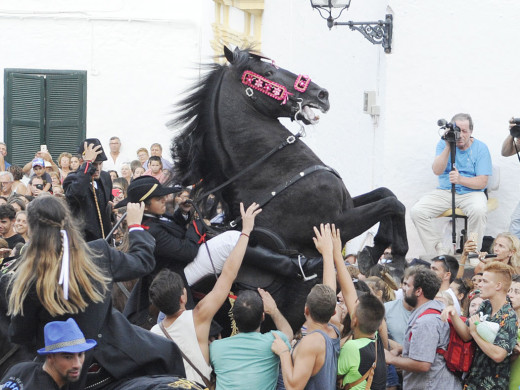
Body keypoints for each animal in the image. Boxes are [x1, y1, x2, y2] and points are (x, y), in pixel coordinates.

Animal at [171, 46, 406, 280]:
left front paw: (382, 254)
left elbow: (387, 194)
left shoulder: (348, 206)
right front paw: (392, 259)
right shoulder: (333, 225)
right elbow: (392, 204)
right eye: (267, 73)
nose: (322, 94)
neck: (271, 171)